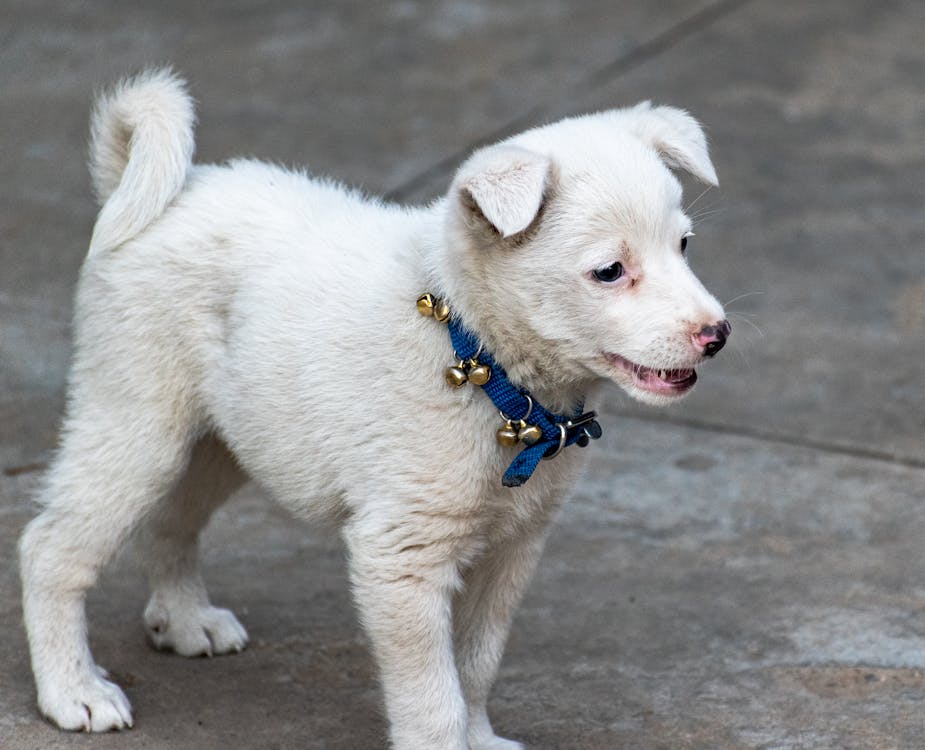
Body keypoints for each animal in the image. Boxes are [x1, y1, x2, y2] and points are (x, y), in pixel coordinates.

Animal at [19, 72, 728, 750]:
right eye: (610, 271)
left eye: (685, 246)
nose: (716, 335)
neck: (479, 361)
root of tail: (161, 190)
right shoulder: (402, 559)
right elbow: (434, 697)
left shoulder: (512, 550)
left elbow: (475, 666)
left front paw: (480, 737)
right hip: (137, 422)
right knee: (49, 548)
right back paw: (73, 690)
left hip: (227, 440)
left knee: (172, 520)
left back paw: (184, 618)